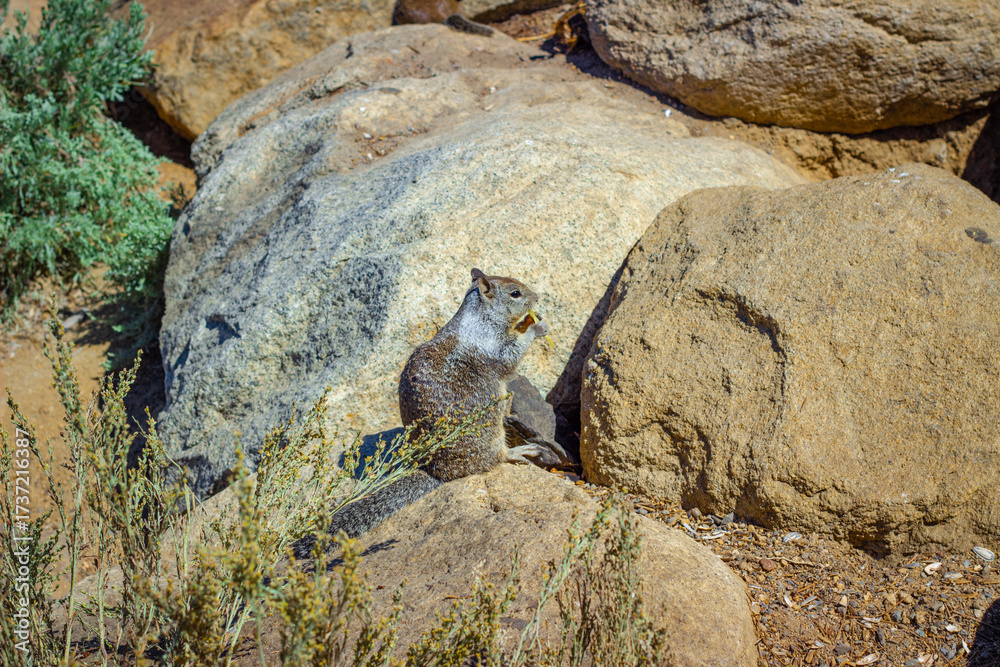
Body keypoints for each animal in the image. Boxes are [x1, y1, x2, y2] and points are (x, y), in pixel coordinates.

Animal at [297, 269, 550, 551]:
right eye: (515, 293)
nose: (537, 297)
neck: (479, 316)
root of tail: (437, 470)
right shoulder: (494, 345)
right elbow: (511, 355)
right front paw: (536, 327)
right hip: (493, 435)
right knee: (496, 459)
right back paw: (520, 451)